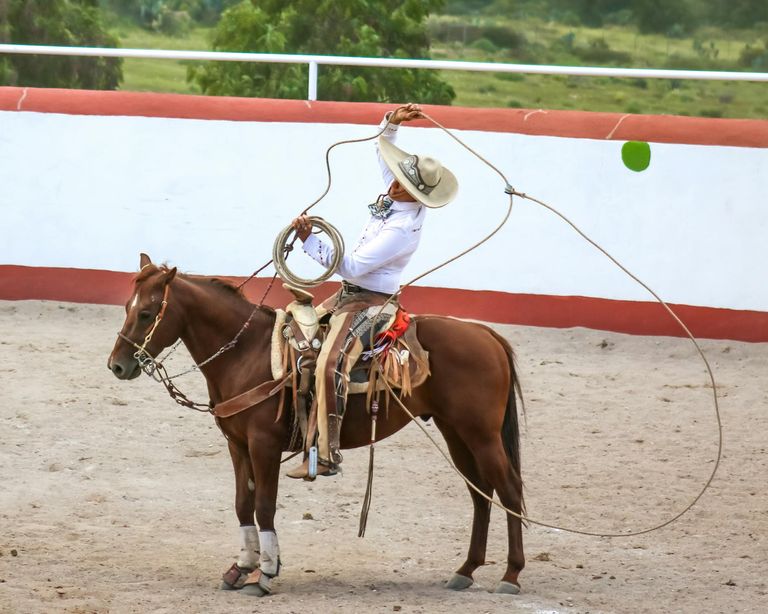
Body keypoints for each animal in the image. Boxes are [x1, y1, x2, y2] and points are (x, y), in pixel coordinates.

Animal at [108, 254, 524, 596]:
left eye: (147, 313)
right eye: (127, 306)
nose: (117, 365)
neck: (247, 353)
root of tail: (486, 334)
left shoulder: (263, 444)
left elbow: (264, 506)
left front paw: (266, 574)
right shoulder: (237, 444)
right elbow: (243, 504)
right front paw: (241, 568)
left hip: (481, 434)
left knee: (508, 490)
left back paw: (511, 575)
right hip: (455, 431)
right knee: (480, 493)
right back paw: (466, 570)